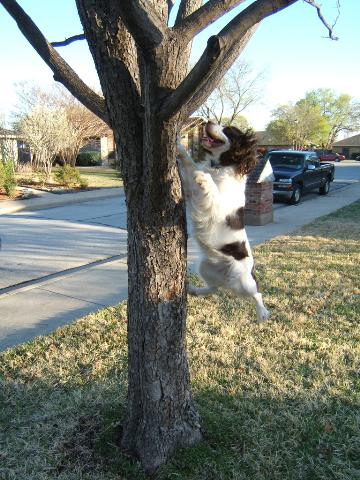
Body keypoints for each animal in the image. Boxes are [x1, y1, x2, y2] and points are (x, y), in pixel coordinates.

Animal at [177, 120, 270, 324]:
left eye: (228, 130)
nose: (208, 121)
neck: (219, 166)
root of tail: (227, 280)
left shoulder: (218, 206)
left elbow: (206, 181)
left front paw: (203, 176)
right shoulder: (191, 192)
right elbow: (190, 164)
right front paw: (179, 147)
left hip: (244, 281)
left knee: (257, 293)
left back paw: (262, 313)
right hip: (206, 267)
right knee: (214, 288)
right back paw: (194, 290)